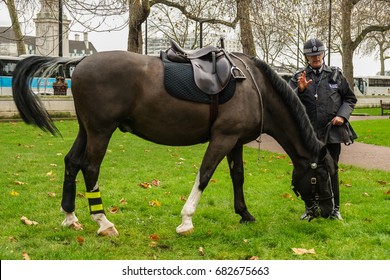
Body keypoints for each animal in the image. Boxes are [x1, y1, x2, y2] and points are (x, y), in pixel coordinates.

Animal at [12, 50, 336, 236]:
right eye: (320, 177)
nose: (328, 211)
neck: (256, 89)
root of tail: (81, 61)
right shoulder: (222, 138)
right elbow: (205, 175)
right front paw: (186, 220)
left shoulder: (235, 142)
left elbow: (238, 177)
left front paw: (244, 214)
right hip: (101, 131)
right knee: (90, 168)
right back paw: (103, 221)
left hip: (87, 129)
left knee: (72, 162)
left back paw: (70, 216)